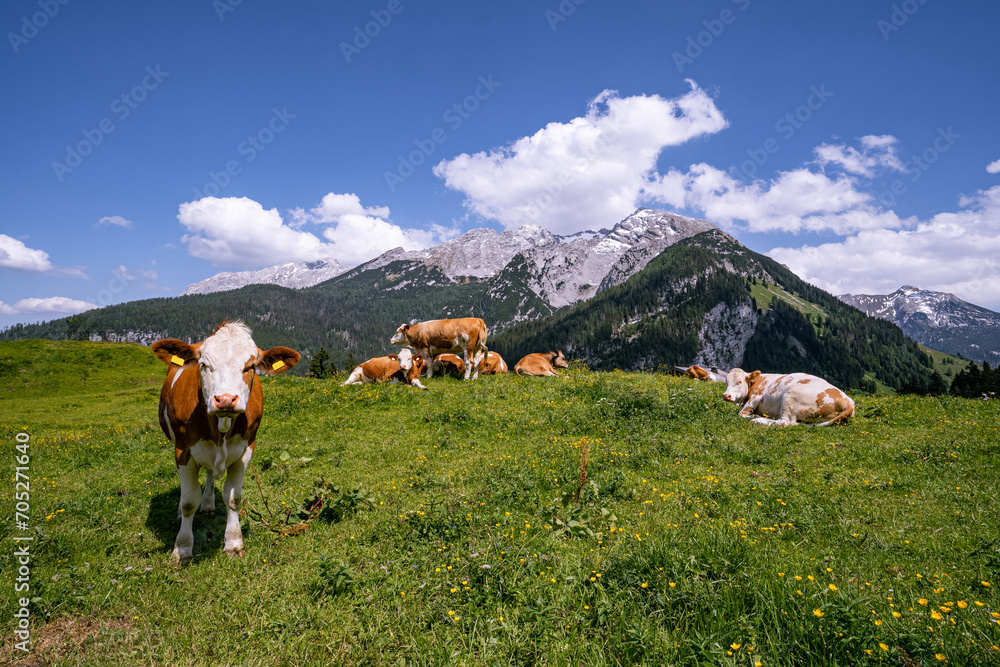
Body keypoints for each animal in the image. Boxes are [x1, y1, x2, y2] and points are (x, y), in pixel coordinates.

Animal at [152, 321, 300, 562]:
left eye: (251, 366)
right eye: (203, 364)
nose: (225, 400)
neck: (220, 427)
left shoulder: (245, 450)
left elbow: (234, 498)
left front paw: (233, 542)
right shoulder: (183, 451)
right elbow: (189, 501)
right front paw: (182, 548)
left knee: (210, 474)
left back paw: (208, 504)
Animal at [722, 368, 855, 426]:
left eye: (739, 382)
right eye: (726, 382)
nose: (726, 395)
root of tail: (848, 401)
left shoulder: (757, 396)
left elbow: (741, 413)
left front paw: (753, 415)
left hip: (790, 396)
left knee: (785, 422)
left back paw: (758, 420)